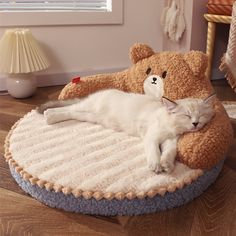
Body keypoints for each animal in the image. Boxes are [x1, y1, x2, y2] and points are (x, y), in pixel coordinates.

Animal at [37, 90, 216, 173]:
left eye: (201, 116)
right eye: (187, 116)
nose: (195, 123)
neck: (172, 127)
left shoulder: (170, 140)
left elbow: (170, 152)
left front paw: (167, 164)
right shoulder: (152, 137)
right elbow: (154, 151)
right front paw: (156, 165)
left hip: (90, 116)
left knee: (72, 112)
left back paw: (50, 117)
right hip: (87, 107)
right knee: (68, 108)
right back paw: (49, 115)